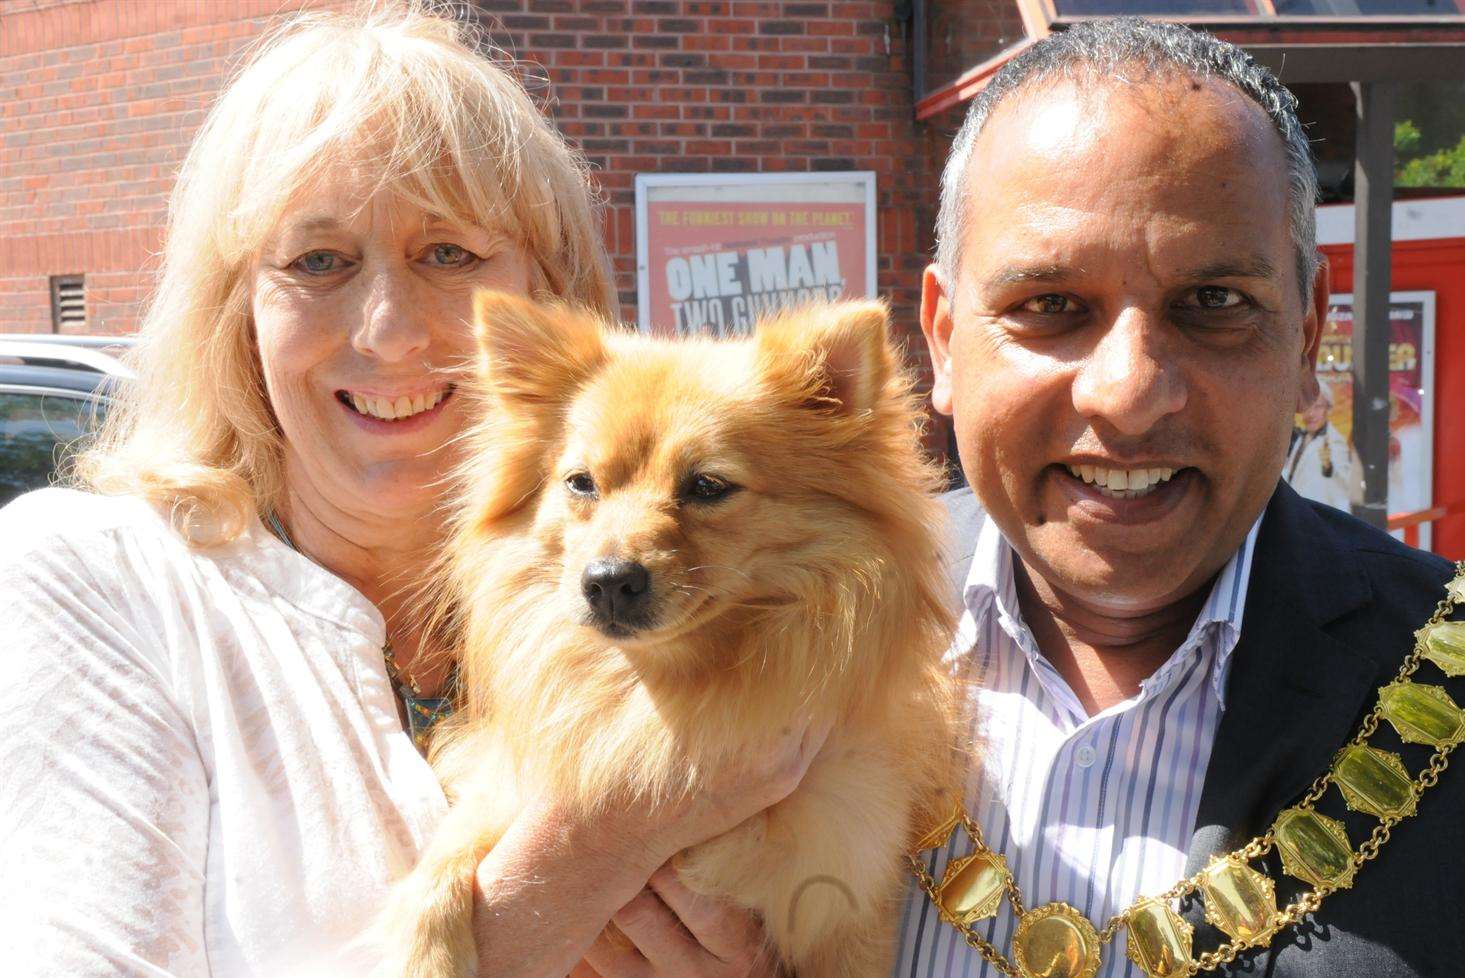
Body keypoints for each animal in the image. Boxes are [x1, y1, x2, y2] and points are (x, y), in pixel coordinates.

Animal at [389, 292, 961, 978]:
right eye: (581, 483)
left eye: (708, 486)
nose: (608, 580)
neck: (663, 694)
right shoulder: (505, 784)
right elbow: (449, 851)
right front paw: (424, 949)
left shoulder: (846, 912)